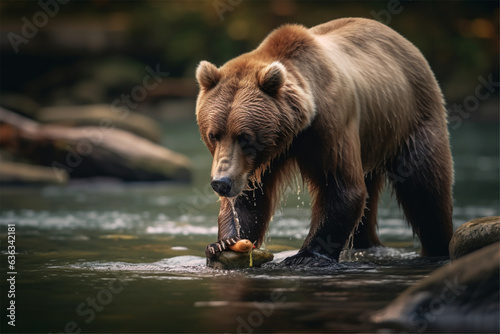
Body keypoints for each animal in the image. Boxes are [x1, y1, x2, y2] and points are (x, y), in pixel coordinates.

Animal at [197, 18, 456, 264]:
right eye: (214, 134)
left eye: (245, 137)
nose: (221, 183)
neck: (294, 131)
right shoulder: (261, 159)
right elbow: (249, 198)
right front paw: (224, 242)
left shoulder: (330, 127)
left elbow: (341, 187)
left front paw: (306, 256)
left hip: (413, 119)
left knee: (425, 188)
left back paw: (438, 247)